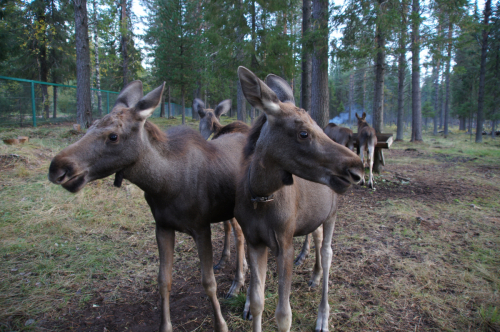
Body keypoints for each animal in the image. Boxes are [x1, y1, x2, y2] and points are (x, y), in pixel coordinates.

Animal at [48, 81, 248, 332]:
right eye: (90, 125)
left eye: (113, 136)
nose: (57, 167)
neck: (164, 185)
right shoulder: (162, 227)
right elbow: (163, 281)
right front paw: (165, 326)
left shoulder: (201, 228)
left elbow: (208, 282)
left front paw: (221, 324)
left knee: (241, 237)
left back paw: (238, 283)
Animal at [234, 66, 364, 330]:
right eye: (303, 133)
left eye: (321, 130)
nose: (357, 169)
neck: (261, 195)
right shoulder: (255, 241)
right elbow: (257, 302)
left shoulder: (285, 242)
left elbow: (284, 315)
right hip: (315, 215)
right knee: (317, 235)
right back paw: (314, 275)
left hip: (333, 214)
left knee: (328, 252)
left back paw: (323, 315)